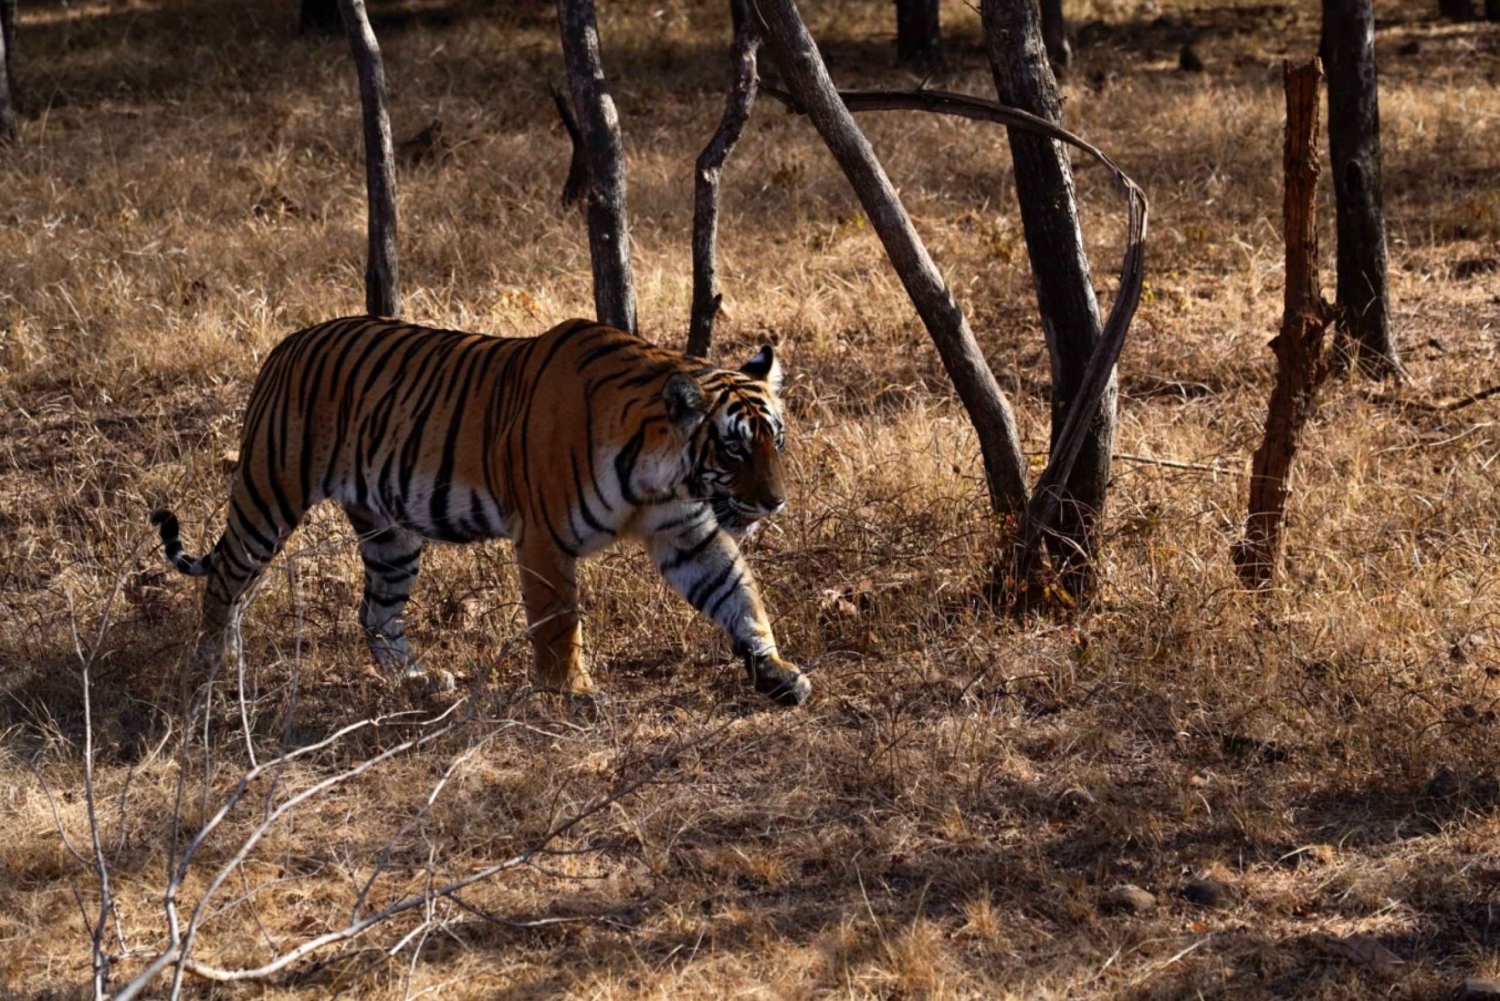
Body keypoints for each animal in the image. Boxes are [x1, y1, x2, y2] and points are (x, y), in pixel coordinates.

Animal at [149, 319, 810, 705]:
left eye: (776, 440)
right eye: (734, 448)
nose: (775, 501)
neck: (661, 475)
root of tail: (286, 344)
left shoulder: (686, 529)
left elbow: (736, 596)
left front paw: (775, 670)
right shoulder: (545, 538)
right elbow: (559, 621)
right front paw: (572, 692)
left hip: (392, 535)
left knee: (376, 614)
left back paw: (419, 682)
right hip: (268, 495)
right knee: (226, 580)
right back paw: (211, 673)